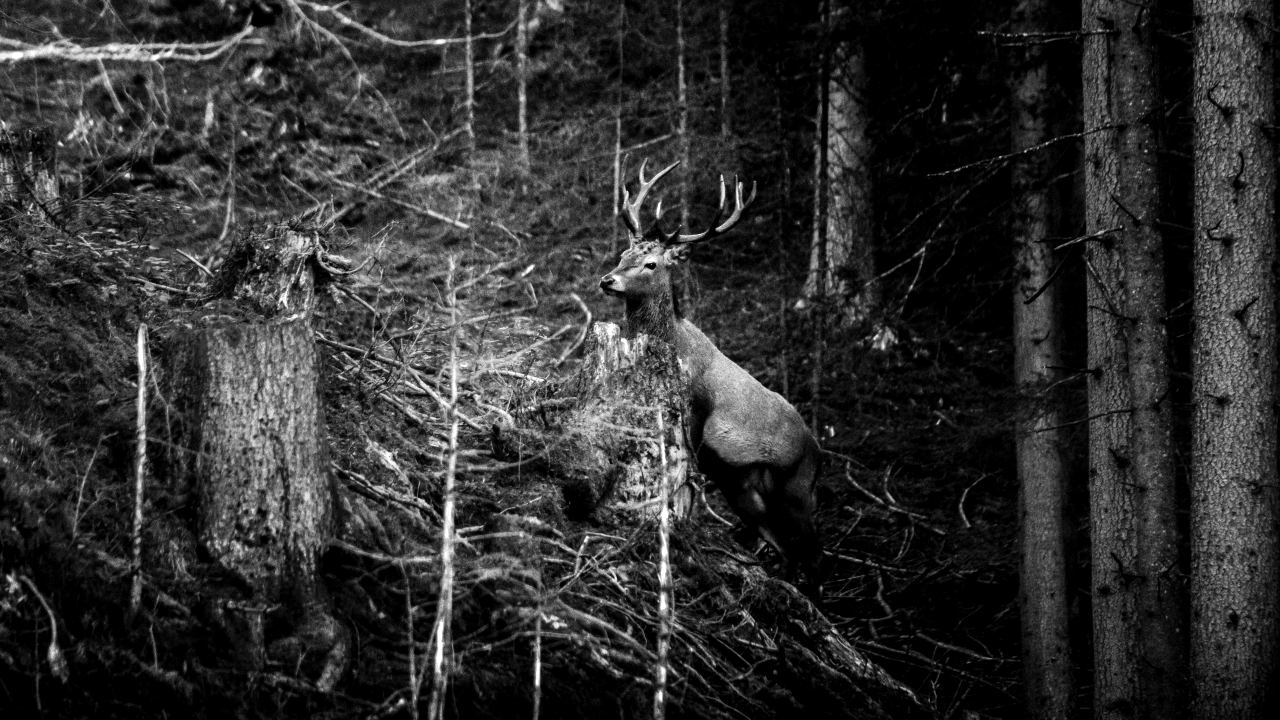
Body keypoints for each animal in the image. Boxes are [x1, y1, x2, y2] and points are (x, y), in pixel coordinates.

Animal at [599, 159, 823, 590]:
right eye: (624, 252)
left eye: (652, 264)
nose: (607, 280)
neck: (671, 340)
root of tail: (819, 454)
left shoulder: (695, 415)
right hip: (746, 489)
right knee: (785, 548)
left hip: (797, 489)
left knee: (815, 553)